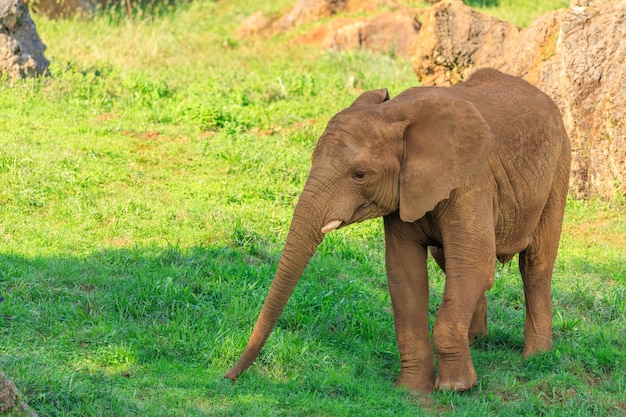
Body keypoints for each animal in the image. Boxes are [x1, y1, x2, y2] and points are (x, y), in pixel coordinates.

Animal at [224, 67, 572, 390]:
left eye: (360, 175)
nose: (228, 377)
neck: (396, 115)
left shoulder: (472, 181)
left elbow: (474, 264)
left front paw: (456, 388)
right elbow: (405, 274)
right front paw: (412, 390)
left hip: (559, 166)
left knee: (535, 264)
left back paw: (536, 356)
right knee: (447, 261)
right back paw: (477, 342)